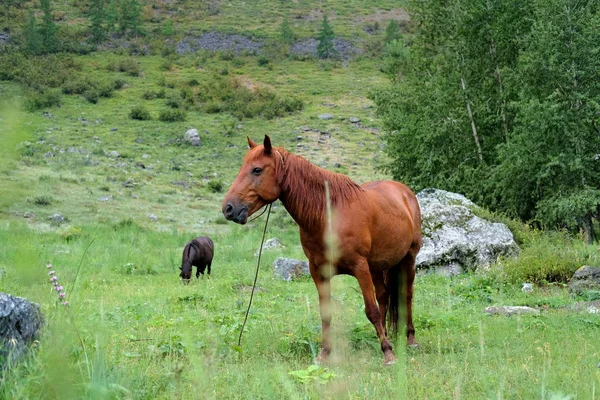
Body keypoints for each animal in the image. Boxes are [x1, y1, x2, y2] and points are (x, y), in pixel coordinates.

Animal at [221, 136, 422, 364]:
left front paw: (388, 353)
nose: (228, 208)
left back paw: (410, 339)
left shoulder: (360, 267)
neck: (328, 216)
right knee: (384, 296)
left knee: (407, 296)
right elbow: (326, 313)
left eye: (257, 170)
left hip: (408, 259)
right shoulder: (319, 272)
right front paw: (325, 353)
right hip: (378, 267)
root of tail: (404, 192)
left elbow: (372, 311)